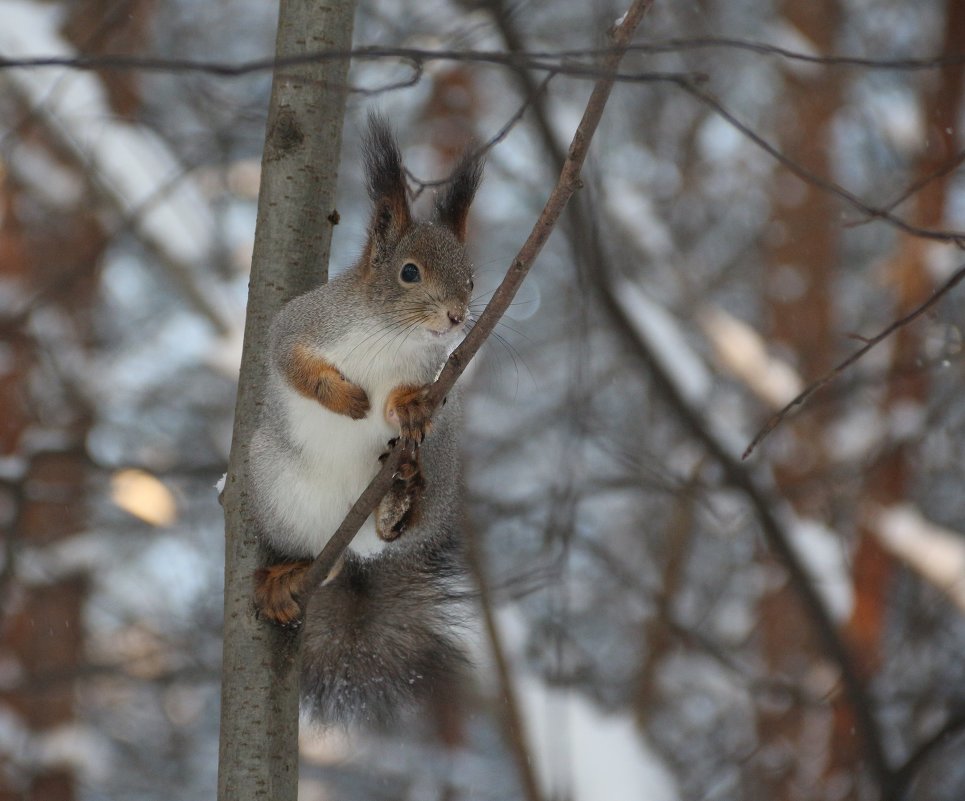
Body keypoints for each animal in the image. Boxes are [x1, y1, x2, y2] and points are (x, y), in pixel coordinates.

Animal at [245, 114, 478, 724]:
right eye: (409, 272)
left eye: (472, 277)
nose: (456, 317)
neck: (390, 332)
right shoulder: (300, 325)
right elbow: (292, 363)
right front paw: (345, 399)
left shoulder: (428, 371)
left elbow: (405, 400)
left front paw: (409, 408)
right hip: (279, 494)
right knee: (321, 568)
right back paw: (287, 578)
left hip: (437, 473)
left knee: (391, 529)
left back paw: (398, 501)